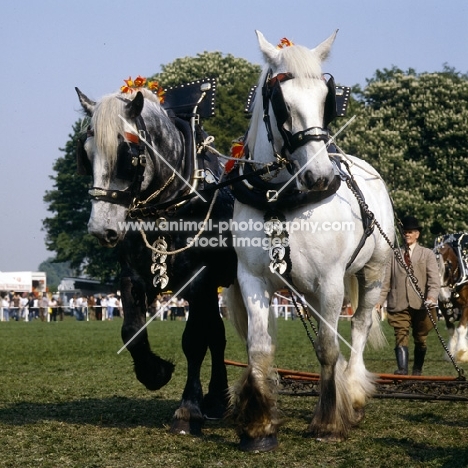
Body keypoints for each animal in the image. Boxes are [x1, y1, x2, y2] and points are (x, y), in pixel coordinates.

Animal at [227, 31, 394, 452]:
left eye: (325, 100)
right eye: (281, 104)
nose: (319, 176)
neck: (280, 200)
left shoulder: (331, 281)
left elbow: (328, 347)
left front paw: (329, 420)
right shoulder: (252, 278)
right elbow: (259, 347)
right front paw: (259, 425)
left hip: (373, 272)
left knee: (360, 324)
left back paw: (352, 391)